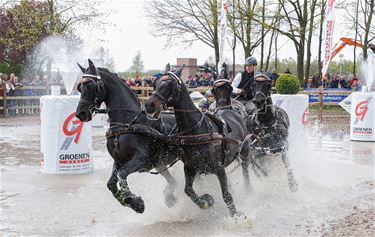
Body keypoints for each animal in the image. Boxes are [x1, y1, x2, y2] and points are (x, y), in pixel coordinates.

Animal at [75, 58, 180, 213]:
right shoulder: (119, 160)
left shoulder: (140, 159)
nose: (80, 113)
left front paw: (135, 202)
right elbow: (111, 184)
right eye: (80, 87)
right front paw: (132, 202)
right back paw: (170, 197)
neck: (126, 123)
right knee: (173, 181)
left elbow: (122, 175)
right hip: (159, 164)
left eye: (91, 86)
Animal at [147, 65, 250, 217]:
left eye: (171, 84)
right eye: (156, 83)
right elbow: (188, 190)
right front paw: (206, 201)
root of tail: (229, 109)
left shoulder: (219, 168)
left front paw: (235, 216)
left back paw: (248, 189)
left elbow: (226, 195)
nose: (149, 104)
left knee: (245, 169)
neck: (197, 131)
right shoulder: (190, 167)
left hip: (245, 150)